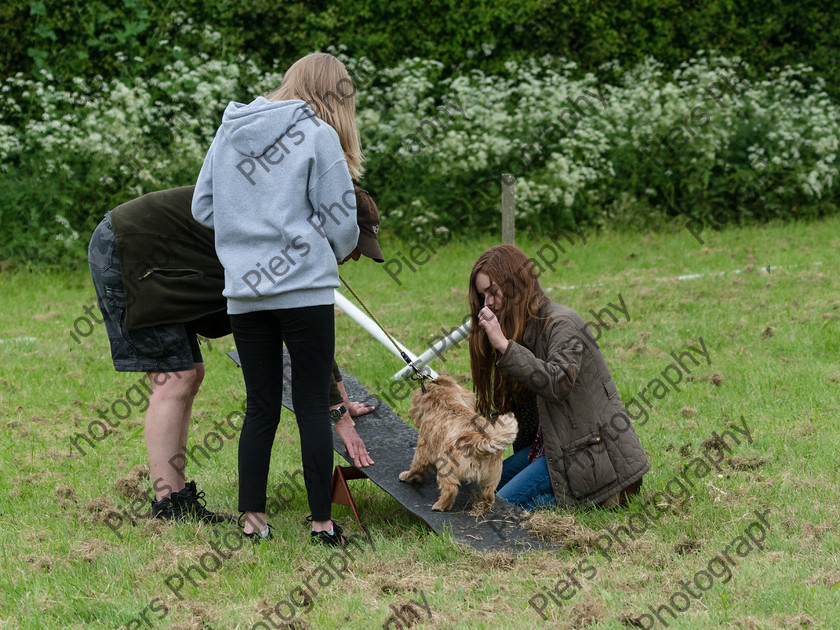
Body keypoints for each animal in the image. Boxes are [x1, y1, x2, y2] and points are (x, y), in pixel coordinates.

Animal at [398, 378, 516, 512]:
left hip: (446, 468)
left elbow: (417, 465)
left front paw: (407, 475)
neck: (446, 402)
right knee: (488, 493)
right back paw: (483, 506)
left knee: (451, 489)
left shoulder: (423, 448)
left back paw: (440, 505)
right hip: (492, 477)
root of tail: (479, 442)